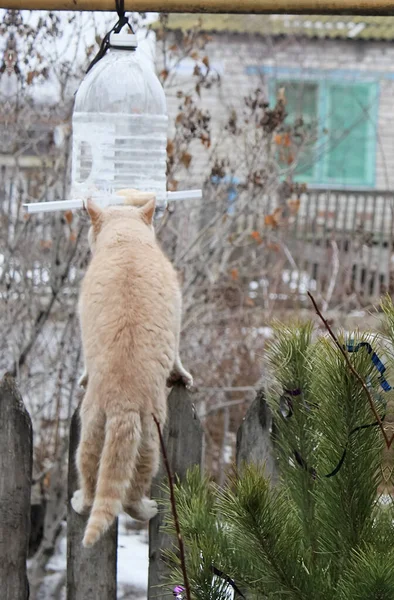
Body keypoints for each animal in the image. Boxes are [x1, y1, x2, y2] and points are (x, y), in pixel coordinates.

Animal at [72, 195, 194, 548]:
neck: (126, 241)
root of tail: (121, 402)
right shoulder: (177, 322)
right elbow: (179, 358)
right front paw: (182, 376)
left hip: (90, 429)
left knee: (90, 483)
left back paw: (79, 501)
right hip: (151, 441)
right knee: (129, 497)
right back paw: (148, 508)